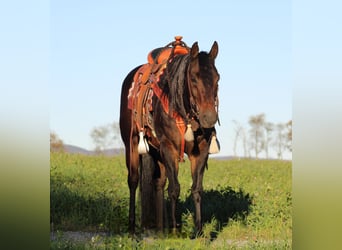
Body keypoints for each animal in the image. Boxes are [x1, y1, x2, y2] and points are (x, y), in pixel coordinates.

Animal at [119, 37, 220, 234]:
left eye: (217, 78)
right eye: (193, 78)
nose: (209, 118)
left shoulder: (201, 151)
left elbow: (197, 189)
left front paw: (198, 231)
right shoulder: (170, 148)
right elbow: (175, 188)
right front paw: (175, 230)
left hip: (156, 150)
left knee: (159, 183)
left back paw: (160, 229)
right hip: (132, 144)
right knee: (133, 181)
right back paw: (132, 228)